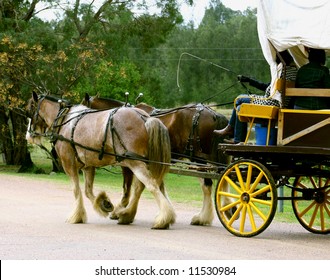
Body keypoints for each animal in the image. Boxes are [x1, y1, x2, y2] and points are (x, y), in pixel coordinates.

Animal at [25, 93, 175, 229]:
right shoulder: (88, 166)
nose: (28, 136)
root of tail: (145, 118)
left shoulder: (69, 164)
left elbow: (76, 190)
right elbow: (88, 191)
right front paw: (104, 204)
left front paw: (77, 216)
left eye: (30, 109)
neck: (65, 120)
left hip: (135, 162)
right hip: (147, 162)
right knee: (156, 186)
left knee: (151, 185)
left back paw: (161, 219)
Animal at [82, 93, 229, 226]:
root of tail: (214, 115)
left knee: (207, 185)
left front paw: (120, 211)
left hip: (198, 159)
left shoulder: (128, 163)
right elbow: (158, 186)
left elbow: (127, 190)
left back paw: (203, 217)